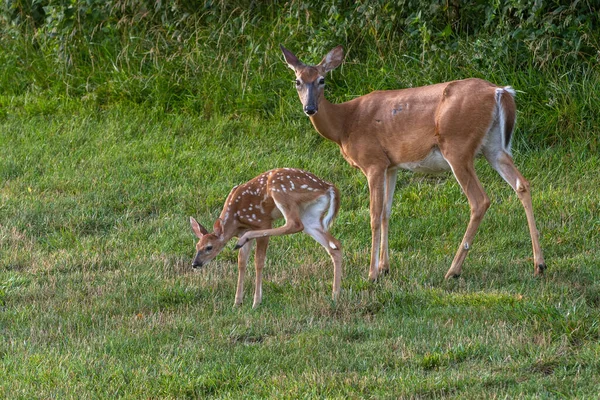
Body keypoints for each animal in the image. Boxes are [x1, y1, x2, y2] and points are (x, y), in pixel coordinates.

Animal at [191, 167, 342, 308]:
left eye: (209, 247)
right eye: (197, 246)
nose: (195, 263)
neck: (236, 219)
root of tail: (329, 187)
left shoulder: (261, 222)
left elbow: (258, 261)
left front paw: (256, 302)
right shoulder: (243, 230)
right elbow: (241, 262)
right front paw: (237, 302)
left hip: (281, 191)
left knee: (294, 224)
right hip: (311, 215)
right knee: (334, 245)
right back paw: (335, 296)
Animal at [278, 44, 548, 282]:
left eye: (322, 80)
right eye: (297, 81)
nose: (310, 108)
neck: (344, 124)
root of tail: (500, 91)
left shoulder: (373, 162)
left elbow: (374, 215)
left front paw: (372, 274)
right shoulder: (391, 165)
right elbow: (386, 212)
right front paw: (385, 268)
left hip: (458, 146)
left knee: (480, 200)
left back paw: (453, 271)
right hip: (494, 147)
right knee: (522, 184)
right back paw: (539, 265)